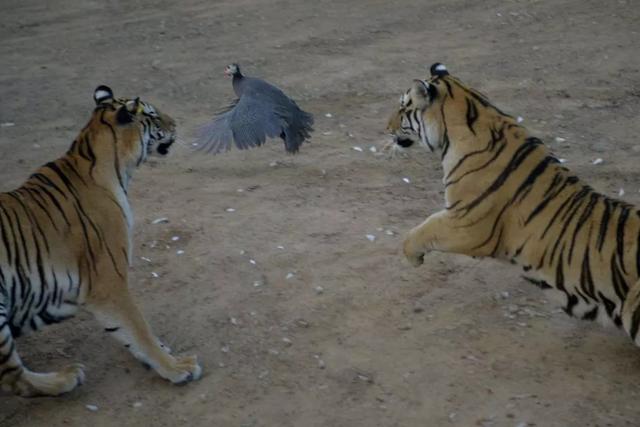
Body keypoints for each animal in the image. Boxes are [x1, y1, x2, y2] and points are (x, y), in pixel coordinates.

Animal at [0, 86, 200, 398]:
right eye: (154, 116)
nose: (176, 123)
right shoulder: (109, 281)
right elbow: (138, 328)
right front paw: (176, 367)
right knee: (13, 378)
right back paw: (66, 378)